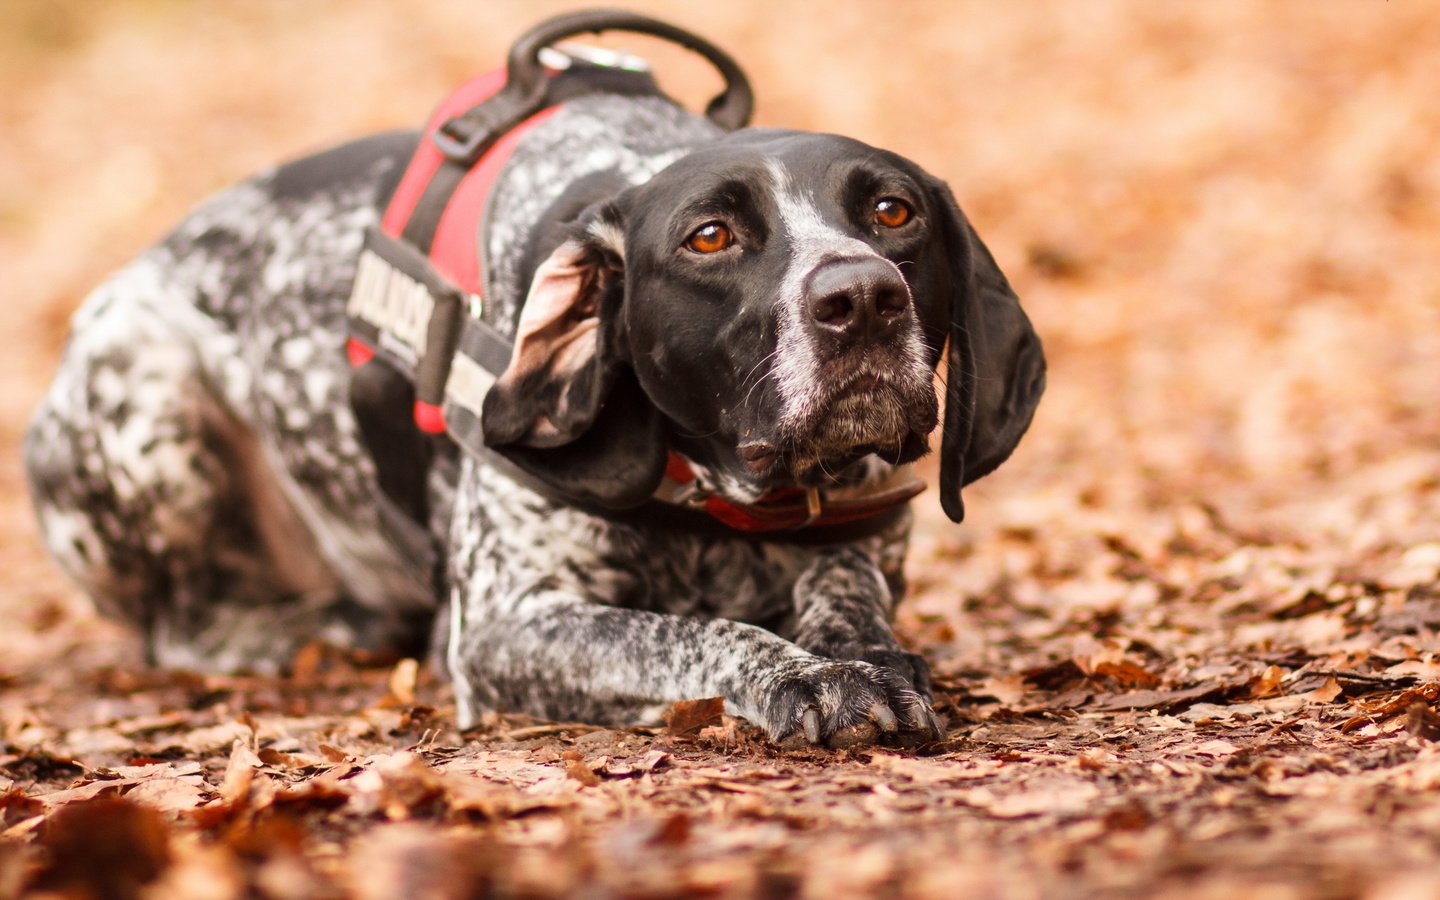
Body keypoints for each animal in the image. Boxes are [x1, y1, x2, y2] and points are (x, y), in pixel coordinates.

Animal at [28, 14, 1042, 748]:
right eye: (709, 237)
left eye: (893, 212)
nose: (862, 296)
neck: (717, 500)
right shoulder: (509, 625)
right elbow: (696, 635)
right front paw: (803, 673)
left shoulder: (862, 541)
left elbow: (848, 597)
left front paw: (865, 654)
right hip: (141, 382)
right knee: (178, 624)